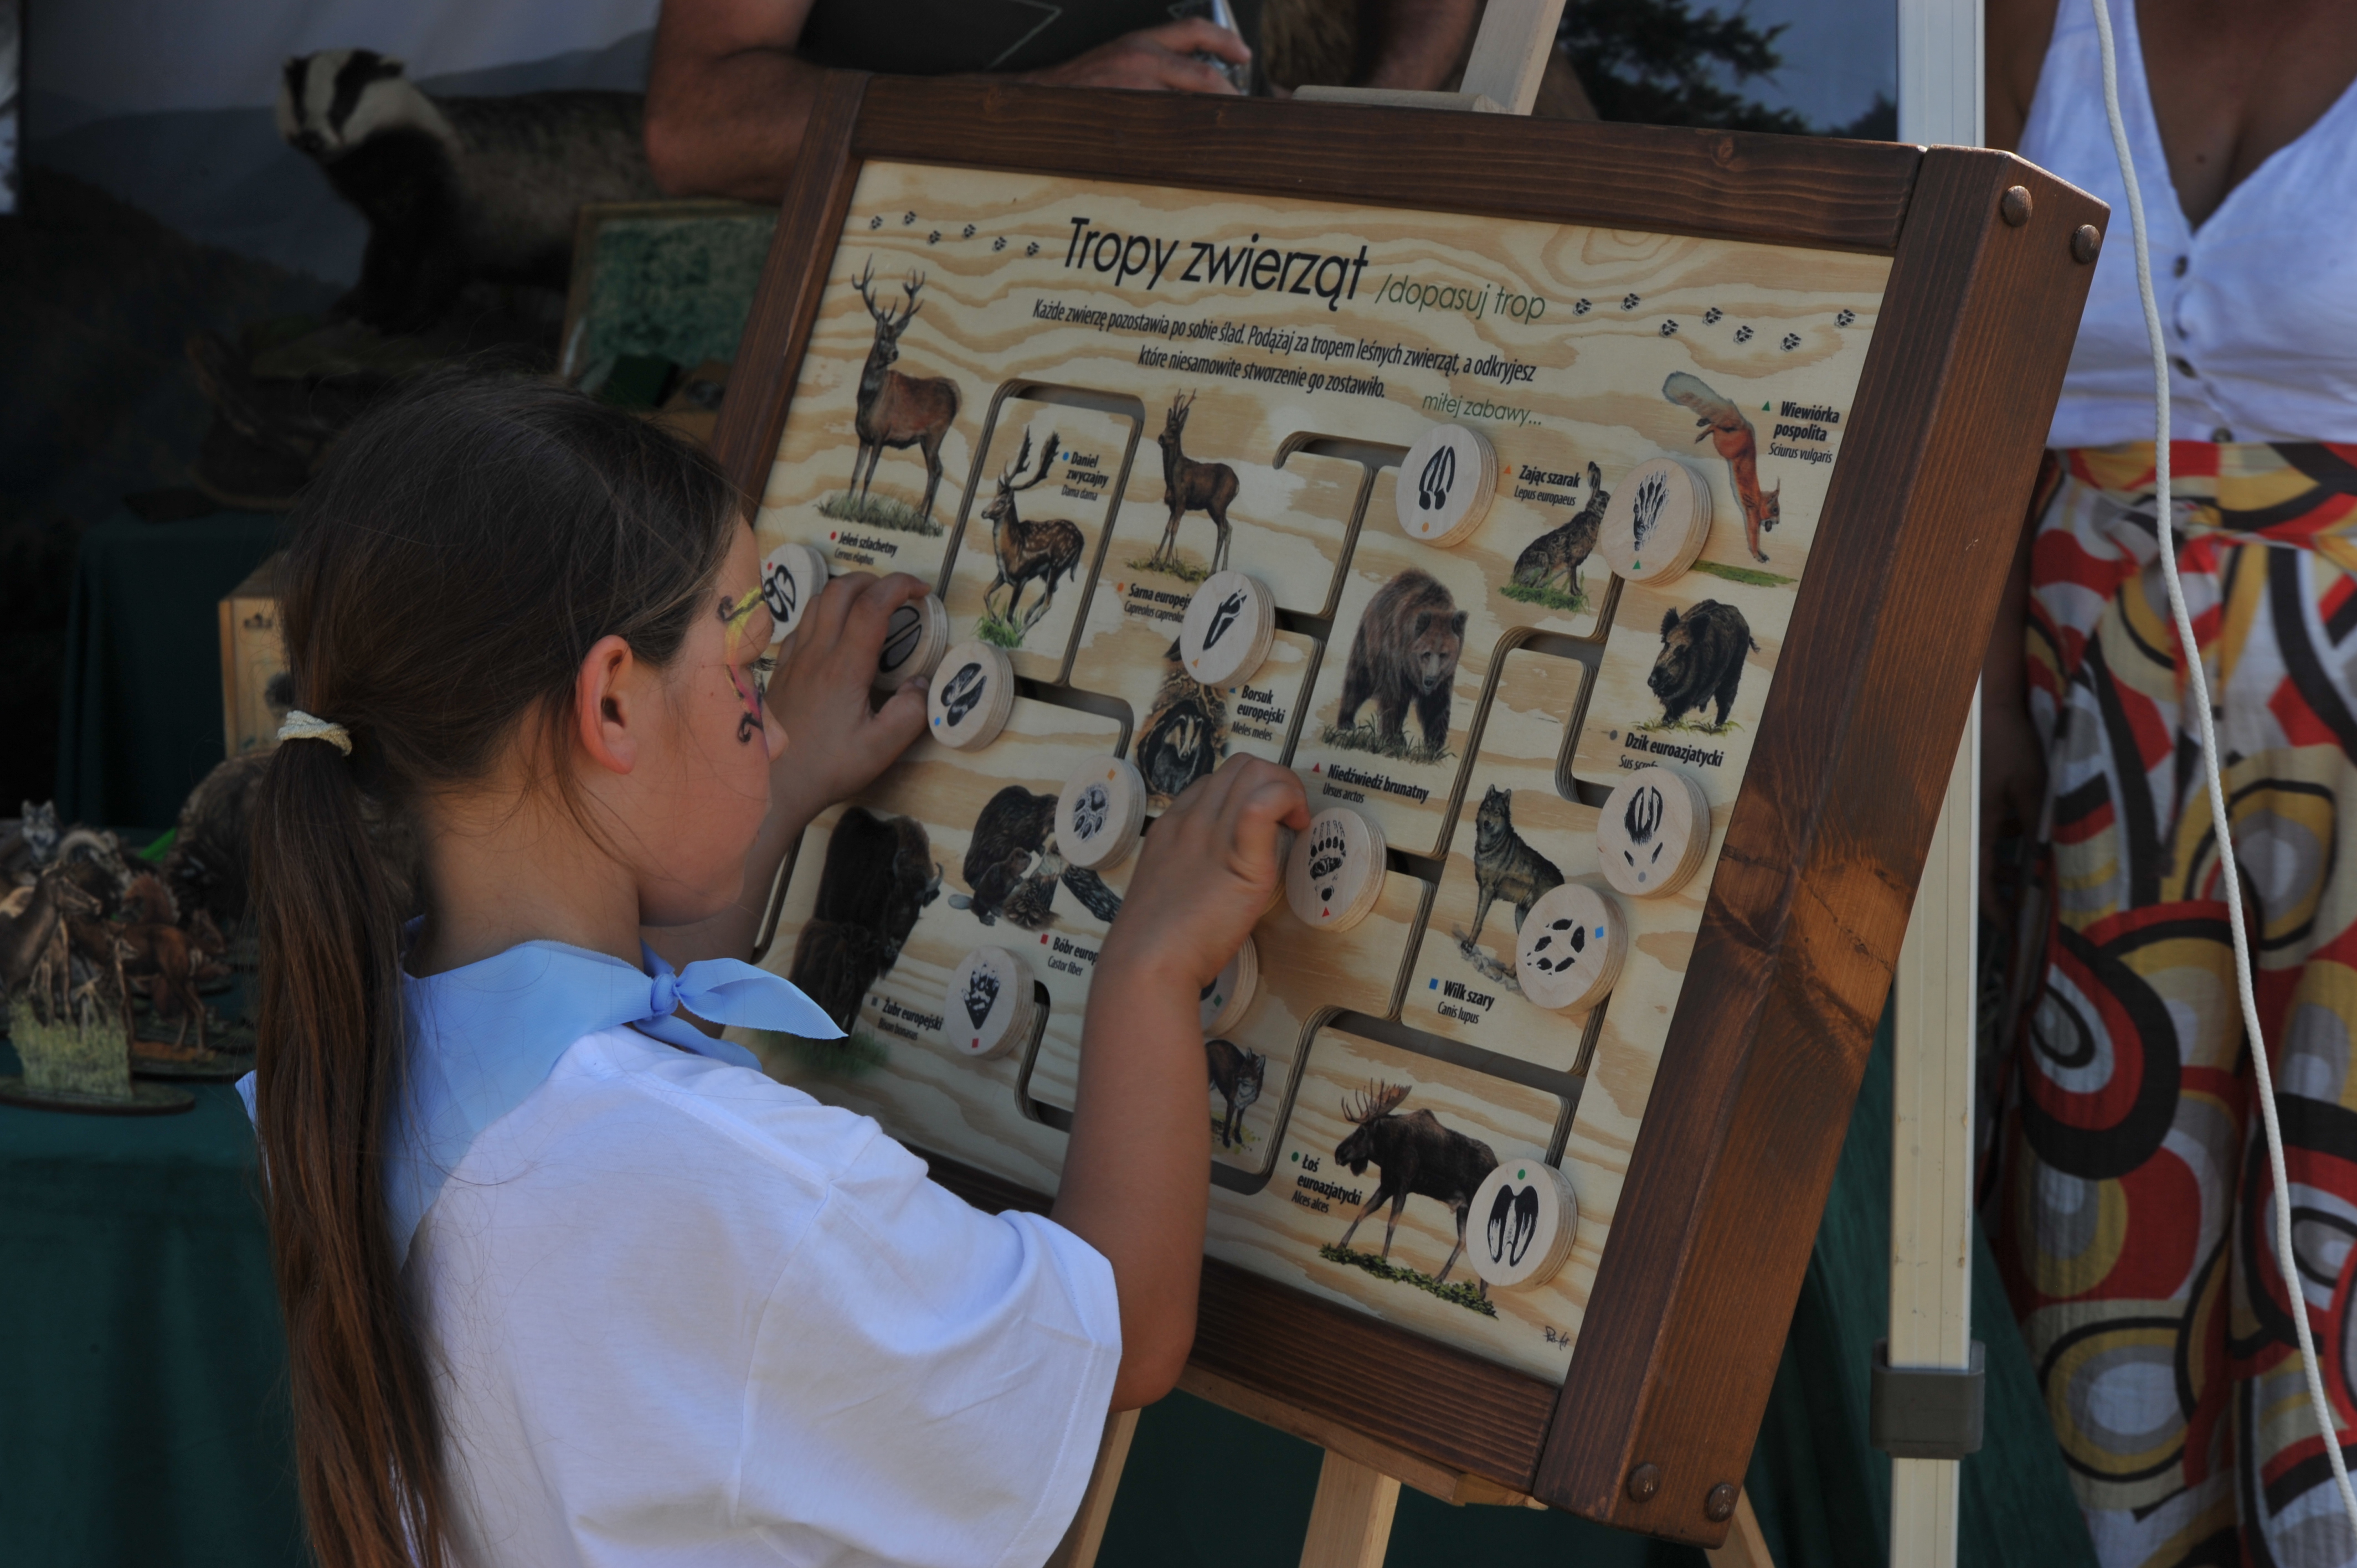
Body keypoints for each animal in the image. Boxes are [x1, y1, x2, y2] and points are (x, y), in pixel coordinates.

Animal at [850, 262, 961, 522]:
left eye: (896, 338)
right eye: (883, 337)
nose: (895, 353)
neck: (867, 401)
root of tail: (956, 394)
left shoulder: (881, 434)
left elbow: (869, 475)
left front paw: (861, 510)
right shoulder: (863, 436)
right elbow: (855, 474)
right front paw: (846, 504)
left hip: (935, 434)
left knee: (935, 470)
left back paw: (920, 518)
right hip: (928, 439)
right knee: (939, 470)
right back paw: (923, 518)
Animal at [979, 428, 1086, 634]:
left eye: (1002, 502)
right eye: (995, 496)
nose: (984, 512)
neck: (1011, 550)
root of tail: (1082, 541)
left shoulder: (1022, 578)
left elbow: (1010, 614)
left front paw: (1011, 631)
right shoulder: (1003, 575)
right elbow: (986, 592)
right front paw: (995, 620)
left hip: (1059, 564)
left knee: (1049, 602)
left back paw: (1022, 631)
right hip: (1055, 569)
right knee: (1054, 590)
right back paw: (1028, 614)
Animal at [1151, 393, 1239, 574]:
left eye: (1175, 430)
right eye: (1166, 425)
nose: (1161, 437)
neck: (1171, 478)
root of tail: (1238, 484)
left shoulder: (1182, 503)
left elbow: (1175, 529)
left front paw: (1164, 564)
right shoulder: (1172, 505)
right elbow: (1167, 528)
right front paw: (1154, 560)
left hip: (1217, 504)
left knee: (1222, 530)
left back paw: (1213, 571)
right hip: (1220, 508)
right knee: (1230, 529)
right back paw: (1223, 569)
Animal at [1332, 1080, 1500, 1287]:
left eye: (1362, 1131)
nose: (1339, 1153)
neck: (1388, 1149)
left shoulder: (1403, 1184)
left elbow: (1392, 1222)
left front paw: (1382, 1260)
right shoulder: (1387, 1184)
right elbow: (1364, 1211)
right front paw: (1341, 1245)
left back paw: (1478, 1292)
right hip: (1464, 1209)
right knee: (1463, 1240)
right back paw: (1441, 1280)